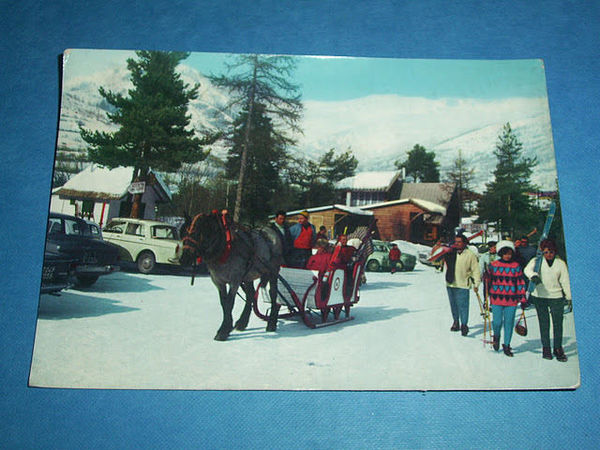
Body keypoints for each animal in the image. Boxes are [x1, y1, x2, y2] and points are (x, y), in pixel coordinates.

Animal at [180, 211, 284, 342]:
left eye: (197, 233)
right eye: (183, 233)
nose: (184, 259)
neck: (224, 248)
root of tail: (270, 229)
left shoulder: (235, 280)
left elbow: (230, 303)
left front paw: (223, 331)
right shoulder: (218, 281)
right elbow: (224, 303)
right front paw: (227, 327)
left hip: (273, 271)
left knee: (273, 293)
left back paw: (271, 323)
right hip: (248, 275)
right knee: (250, 295)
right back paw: (242, 323)